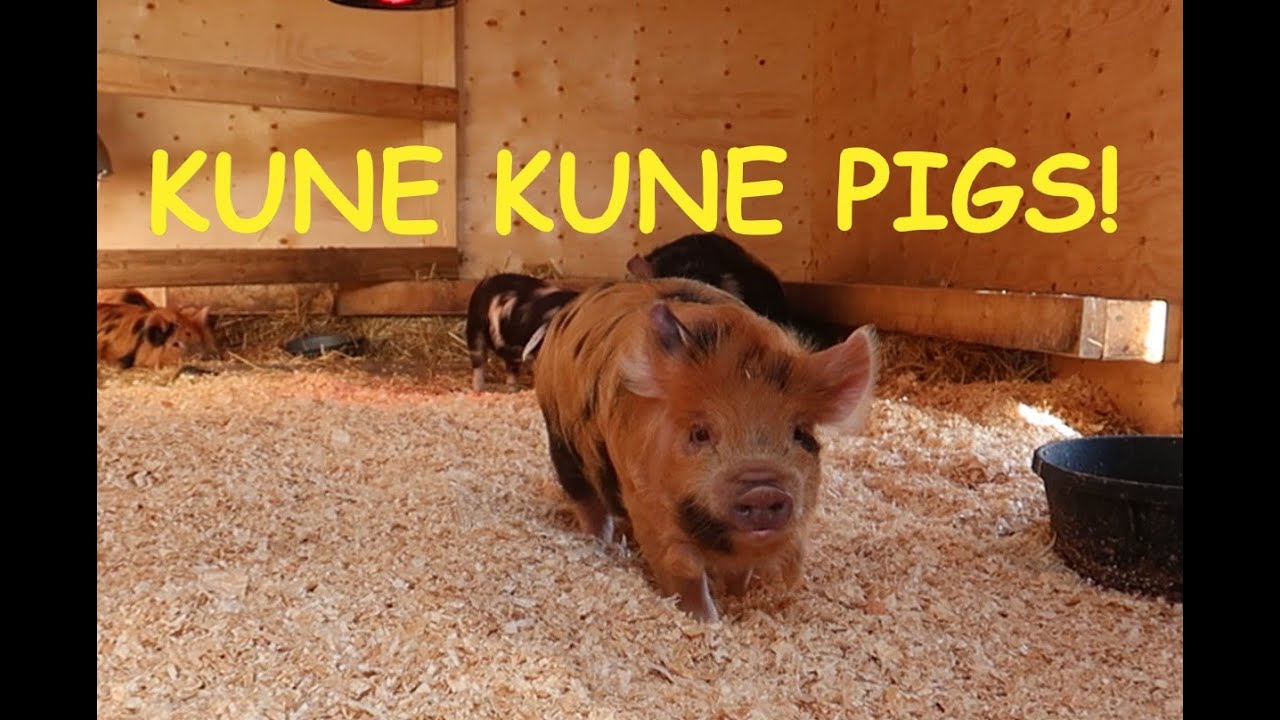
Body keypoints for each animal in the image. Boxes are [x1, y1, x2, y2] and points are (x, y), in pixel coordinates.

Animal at [532, 277, 878, 622]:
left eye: (800, 433)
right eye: (700, 433)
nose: (763, 489)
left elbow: (741, 571)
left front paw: (736, 596)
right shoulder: (645, 504)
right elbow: (683, 572)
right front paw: (708, 621)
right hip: (561, 441)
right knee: (587, 502)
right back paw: (604, 546)